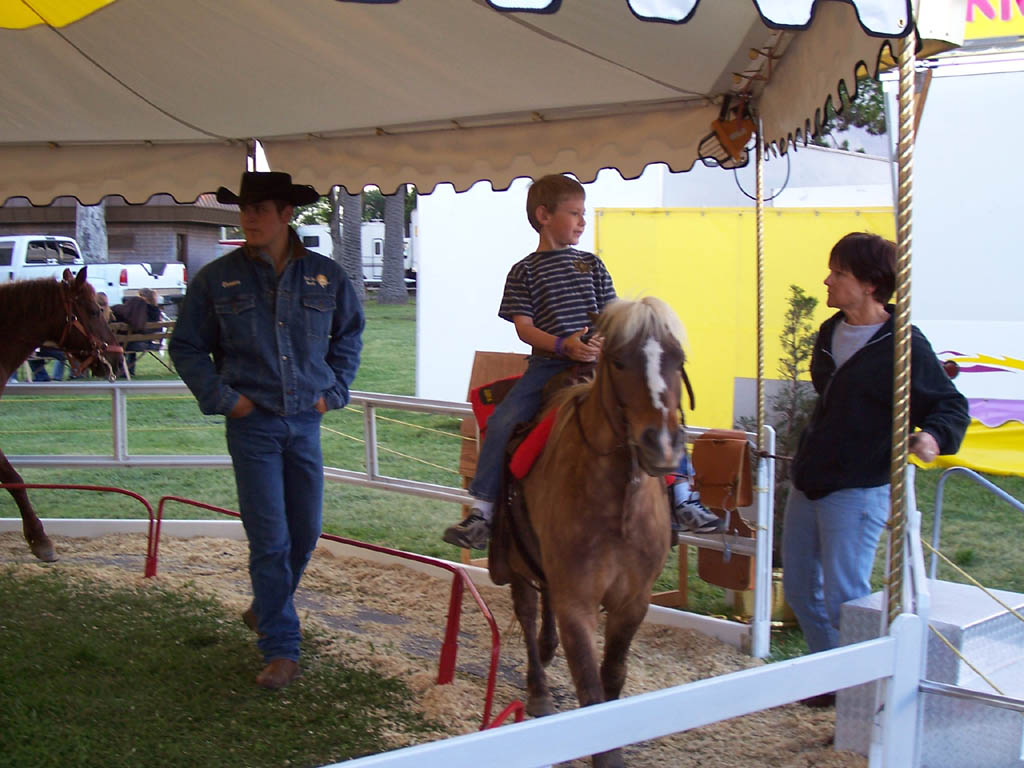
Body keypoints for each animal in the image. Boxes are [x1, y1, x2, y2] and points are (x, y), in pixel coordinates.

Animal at [500, 296, 688, 768]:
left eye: (679, 360)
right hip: (515, 559)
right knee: (527, 612)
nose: (661, 445)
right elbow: (589, 688)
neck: (618, 504)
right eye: (619, 361)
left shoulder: (633, 602)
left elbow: (613, 676)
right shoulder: (578, 603)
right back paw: (539, 689)